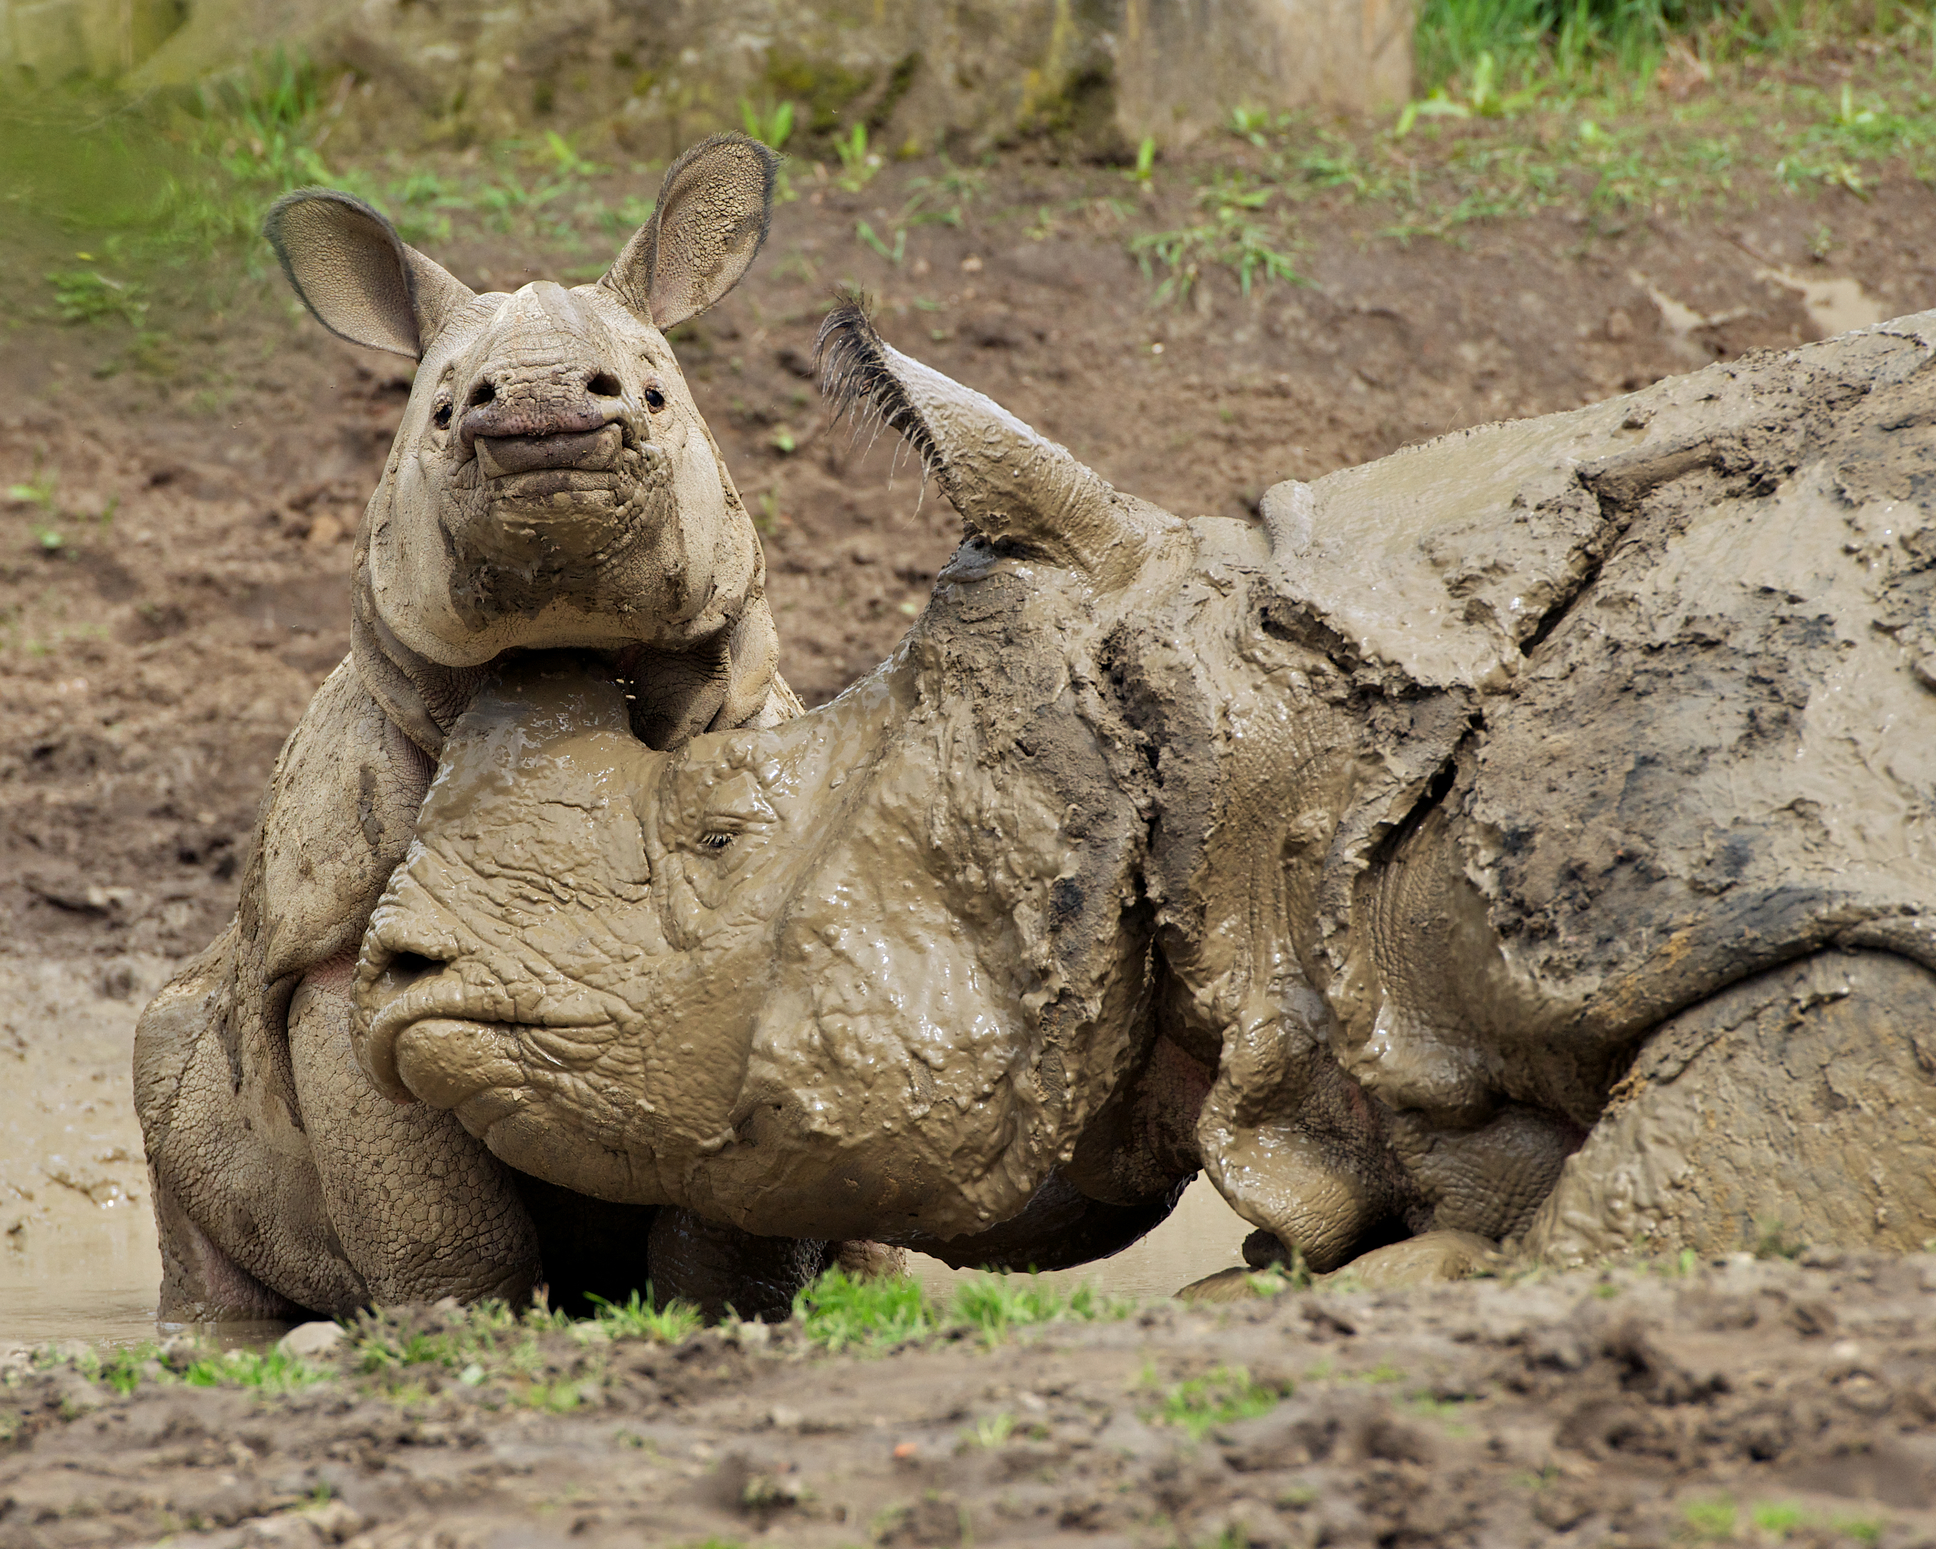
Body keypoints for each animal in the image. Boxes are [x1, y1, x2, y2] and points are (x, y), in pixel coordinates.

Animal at [134, 136, 871, 1316]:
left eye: (655, 392)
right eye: (442, 411)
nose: (539, 407)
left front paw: (722, 1311)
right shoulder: (333, 949)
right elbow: (424, 1190)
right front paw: (458, 1320)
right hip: (186, 1043)